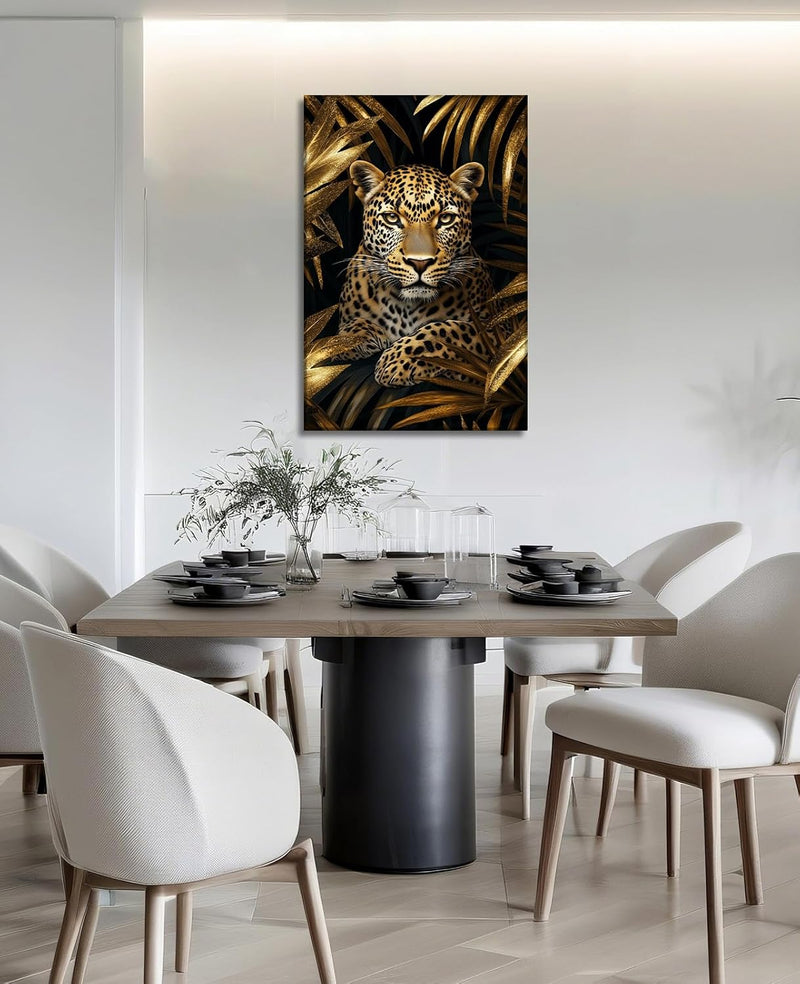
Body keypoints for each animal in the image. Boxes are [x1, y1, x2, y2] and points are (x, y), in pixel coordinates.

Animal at [334, 160, 494, 388]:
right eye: (392, 218)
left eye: (446, 219)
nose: (420, 263)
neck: (405, 307)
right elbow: (352, 325)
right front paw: (346, 341)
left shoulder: (497, 330)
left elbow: (448, 330)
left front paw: (398, 360)